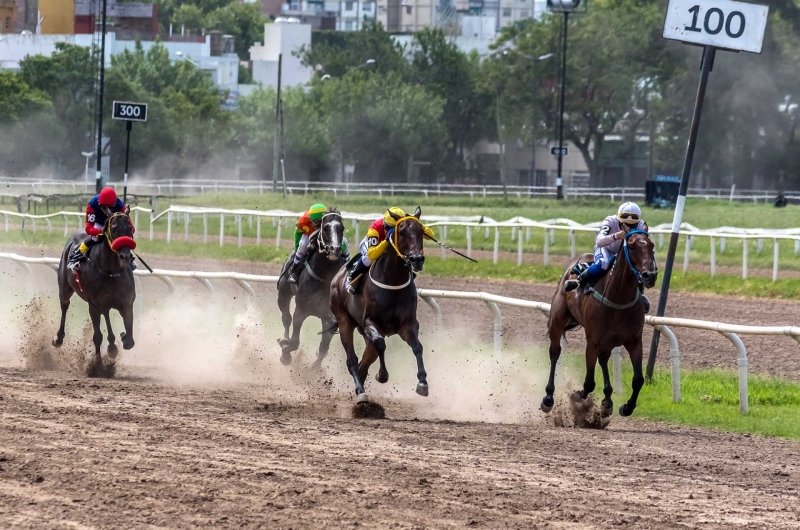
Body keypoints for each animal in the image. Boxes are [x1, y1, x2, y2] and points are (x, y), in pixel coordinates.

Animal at [53, 208, 138, 370]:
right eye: (114, 229)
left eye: (129, 229)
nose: (125, 256)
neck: (111, 271)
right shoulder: (93, 305)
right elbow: (97, 336)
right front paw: (97, 364)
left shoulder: (127, 304)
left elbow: (130, 341)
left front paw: (122, 337)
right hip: (65, 288)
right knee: (64, 305)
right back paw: (58, 338)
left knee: (106, 314)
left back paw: (112, 345)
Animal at [276, 205, 346, 364]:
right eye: (325, 228)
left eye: (342, 228)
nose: (335, 249)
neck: (324, 277)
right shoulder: (301, 310)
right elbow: (294, 342)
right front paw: (285, 353)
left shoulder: (330, 316)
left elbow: (323, 347)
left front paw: (315, 367)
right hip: (283, 294)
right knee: (286, 318)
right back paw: (284, 339)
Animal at [328, 206, 428, 400]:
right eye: (402, 232)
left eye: (421, 231)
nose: (417, 259)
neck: (393, 282)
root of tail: (337, 276)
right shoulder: (370, 323)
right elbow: (381, 344)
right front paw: (382, 375)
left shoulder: (408, 324)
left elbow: (417, 347)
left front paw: (422, 382)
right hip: (344, 321)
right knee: (352, 359)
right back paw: (360, 392)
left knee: (365, 360)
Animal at [544, 227, 656, 416]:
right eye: (632, 246)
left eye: (652, 246)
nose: (650, 275)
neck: (619, 298)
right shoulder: (593, 341)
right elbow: (589, 382)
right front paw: (577, 395)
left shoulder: (634, 341)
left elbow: (638, 379)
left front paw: (626, 407)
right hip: (557, 321)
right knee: (555, 352)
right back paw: (548, 397)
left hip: (608, 341)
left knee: (603, 359)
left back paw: (608, 400)